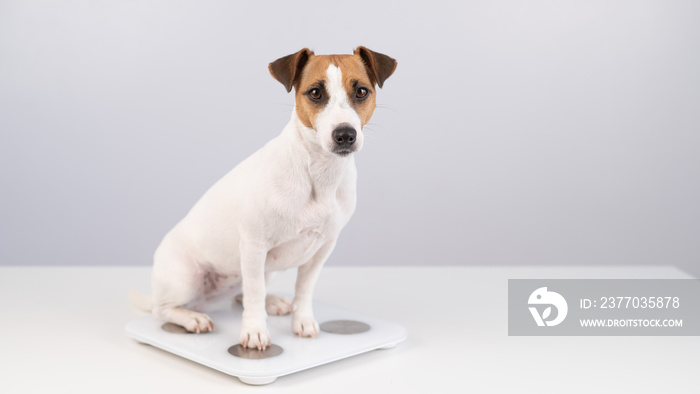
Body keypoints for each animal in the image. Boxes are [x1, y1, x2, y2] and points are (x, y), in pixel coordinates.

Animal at [131, 47, 394, 350]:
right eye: (315, 93)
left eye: (361, 91)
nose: (345, 134)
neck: (318, 174)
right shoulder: (255, 246)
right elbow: (254, 293)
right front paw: (254, 331)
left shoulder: (322, 249)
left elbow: (303, 289)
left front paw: (302, 321)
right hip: (185, 279)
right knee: (163, 309)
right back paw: (191, 318)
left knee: (241, 293)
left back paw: (272, 301)